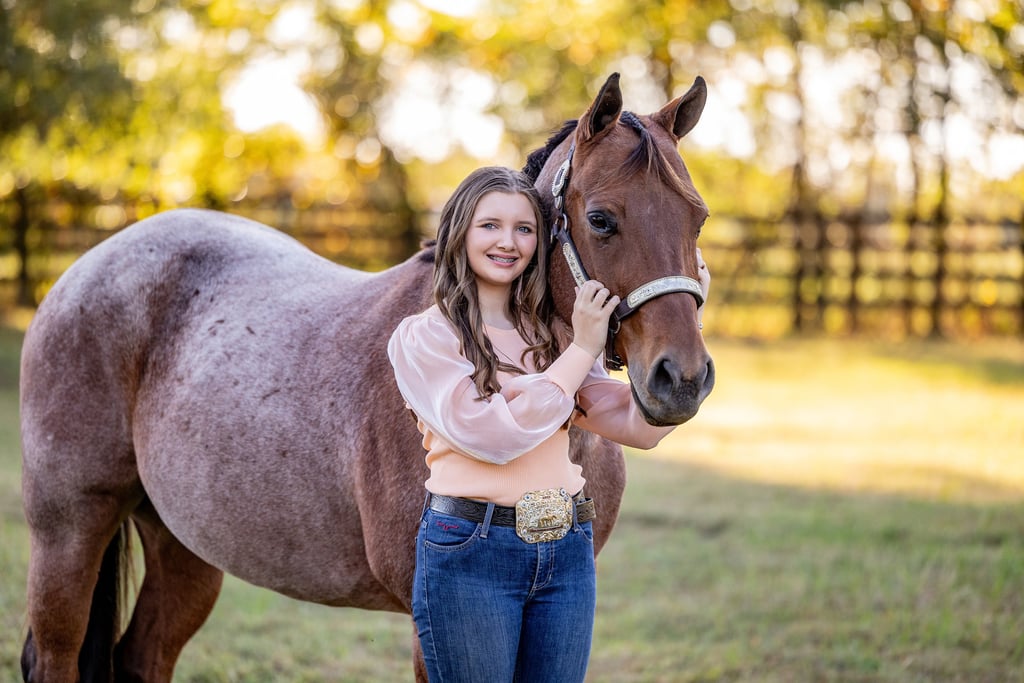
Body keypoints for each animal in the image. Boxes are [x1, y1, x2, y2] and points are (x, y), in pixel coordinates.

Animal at [19, 72, 714, 682]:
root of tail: (91, 265)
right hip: (69, 531)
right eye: (600, 219)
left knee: (142, 658)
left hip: (183, 545)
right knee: (55, 655)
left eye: (698, 218)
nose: (681, 378)